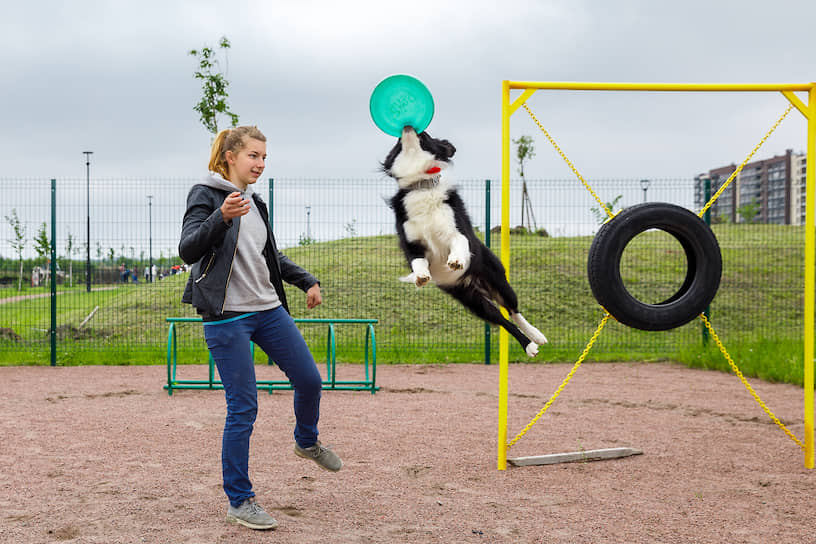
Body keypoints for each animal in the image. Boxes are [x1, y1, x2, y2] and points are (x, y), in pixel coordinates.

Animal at [382, 127, 548, 356]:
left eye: (425, 136)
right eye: (398, 142)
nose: (408, 127)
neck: (422, 186)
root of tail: (475, 283)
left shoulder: (457, 230)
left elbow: (459, 241)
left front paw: (456, 261)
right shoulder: (411, 243)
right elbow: (417, 261)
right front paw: (421, 276)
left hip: (498, 281)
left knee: (514, 310)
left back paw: (536, 337)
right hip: (473, 300)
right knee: (502, 320)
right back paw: (529, 345)